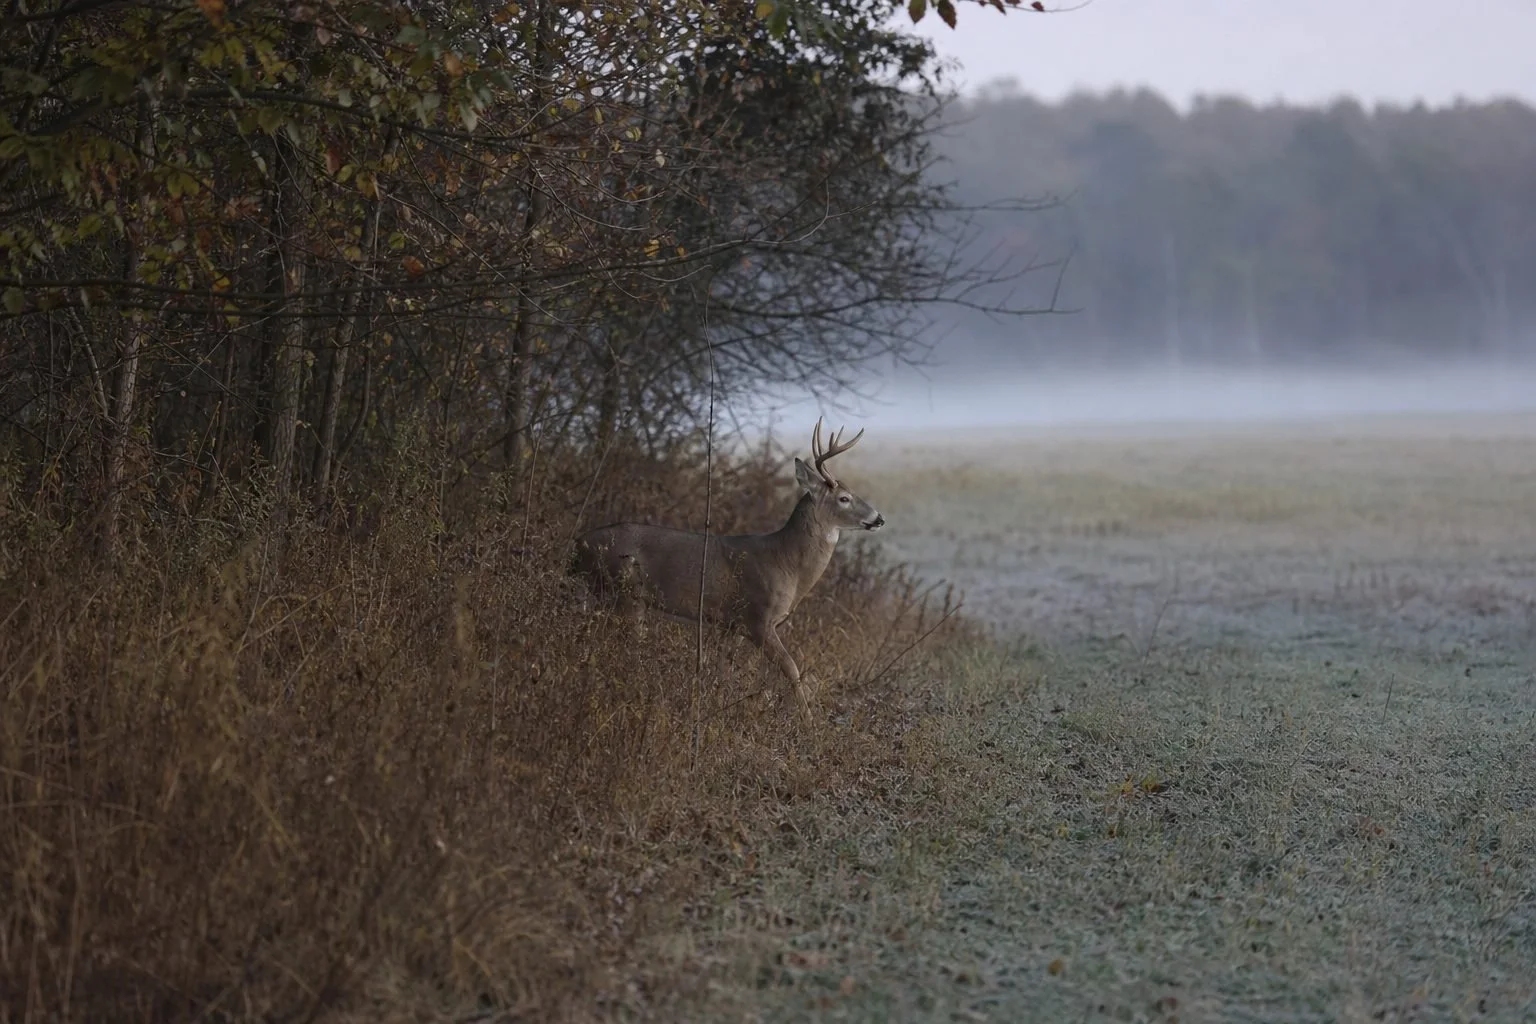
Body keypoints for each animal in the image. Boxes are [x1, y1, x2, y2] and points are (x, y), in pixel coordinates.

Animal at [570, 419, 885, 724]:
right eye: (844, 498)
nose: (879, 518)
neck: (786, 563)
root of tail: (578, 544)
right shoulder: (758, 618)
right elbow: (792, 669)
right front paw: (810, 724)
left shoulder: (730, 625)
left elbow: (723, 671)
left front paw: (718, 710)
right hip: (624, 594)